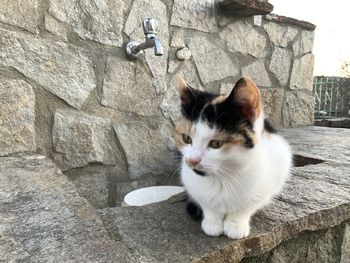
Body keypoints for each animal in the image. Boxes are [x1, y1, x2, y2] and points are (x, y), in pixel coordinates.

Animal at [175, 75, 292, 240]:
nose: (192, 161)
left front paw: (236, 224)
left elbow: (247, 205)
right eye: (186, 138)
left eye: (216, 143)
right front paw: (212, 222)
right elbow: (206, 203)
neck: (222, 179)